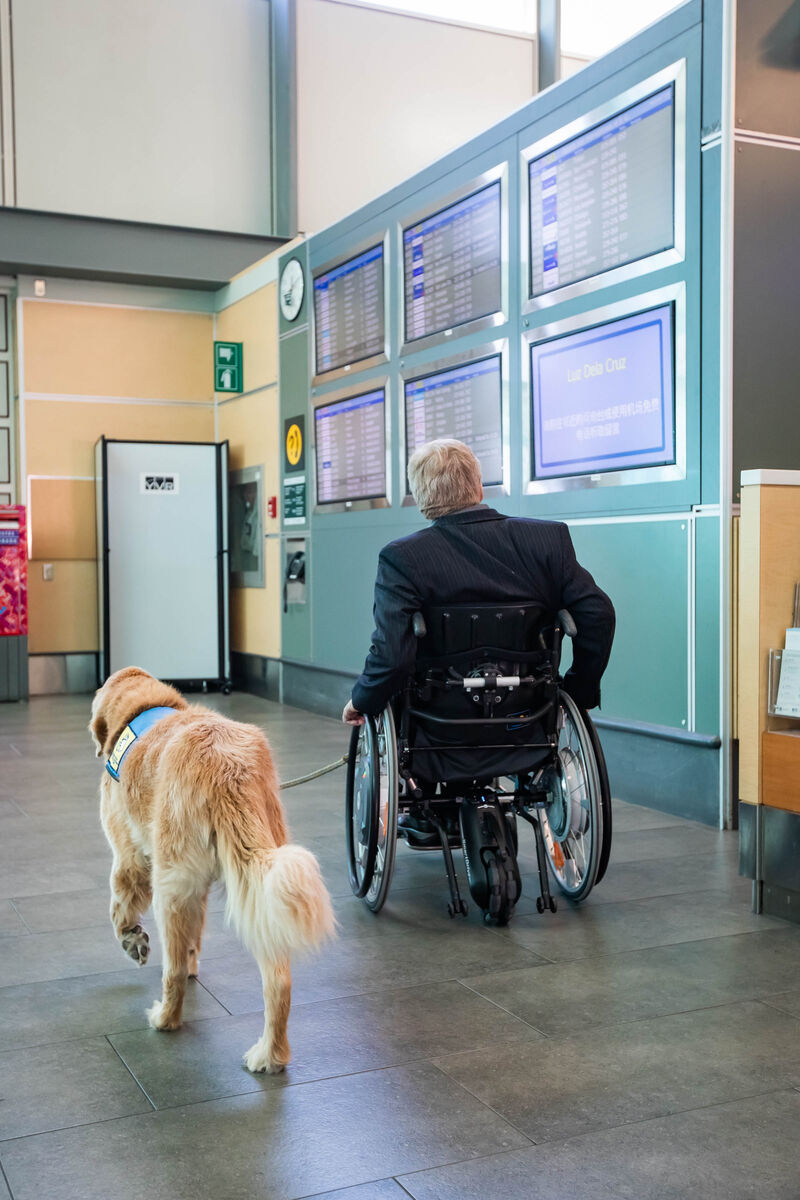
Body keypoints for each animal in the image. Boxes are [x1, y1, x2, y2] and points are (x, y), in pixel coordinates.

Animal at [88, 672, 335, 1075]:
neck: (144, 709)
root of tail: (225, 765)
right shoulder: (199, 888)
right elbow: (195, 938)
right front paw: (191, 963)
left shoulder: (128, 858)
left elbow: (119, 910)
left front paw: (132, 940)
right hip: (264, 892)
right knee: (279, 980)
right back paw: (270, 1055)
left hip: (170, 886)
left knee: (171, 972)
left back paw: (166, 1019)